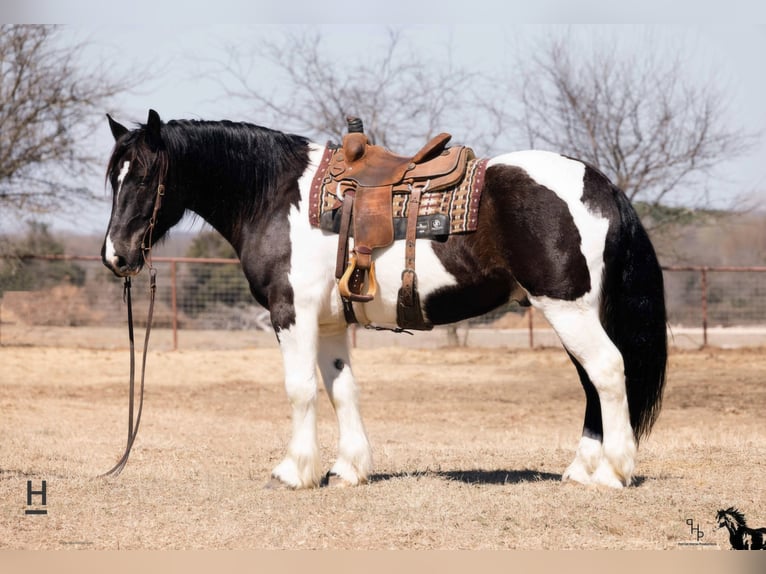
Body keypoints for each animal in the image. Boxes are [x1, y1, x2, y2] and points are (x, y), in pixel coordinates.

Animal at [105, 111, 668, 490]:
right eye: (114, 177)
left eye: (144, 176)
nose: (117, 256)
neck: (275, 196)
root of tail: (600, 185)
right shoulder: (330, 324)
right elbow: (342, 390)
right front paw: (349, 469)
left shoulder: (292, 315)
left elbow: (300, 390)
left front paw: (293, 472)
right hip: (572, 311)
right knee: (593, 383)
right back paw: (580, 470)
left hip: (568, 309)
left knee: (607, 371)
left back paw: (614, 472)